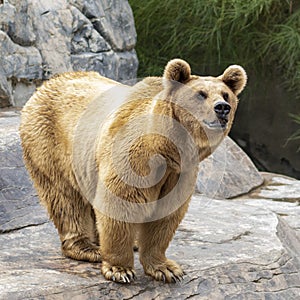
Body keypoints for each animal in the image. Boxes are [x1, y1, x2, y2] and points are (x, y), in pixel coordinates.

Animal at [19, 59, 247, 284]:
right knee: (66, 200)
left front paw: (167, 269)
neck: (166, 148)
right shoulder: (132, 160)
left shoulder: (179, 173)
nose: (222, 108)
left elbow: (166, 216)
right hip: (50, 146)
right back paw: (88, 248)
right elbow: (119, 203)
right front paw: (120, 269)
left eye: (226, 95)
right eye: (201, 94)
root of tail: (48, 83)